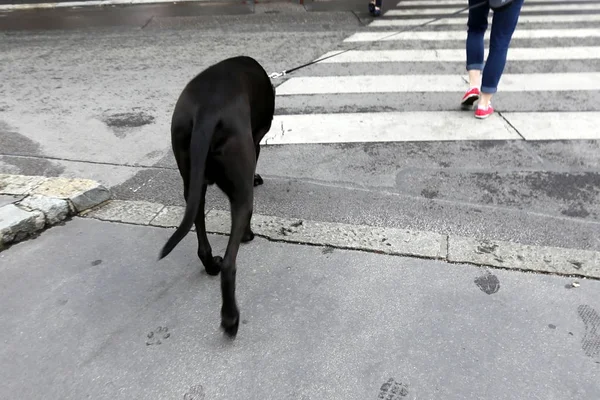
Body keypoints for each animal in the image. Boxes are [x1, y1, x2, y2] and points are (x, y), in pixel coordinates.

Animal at [157, 56, 274, 338]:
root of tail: (206, 112)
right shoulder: (256, 141)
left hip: (192, 184)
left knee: (201, 240)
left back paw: (211, 265)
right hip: (241, 190)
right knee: (230, 264)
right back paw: (230, 319)